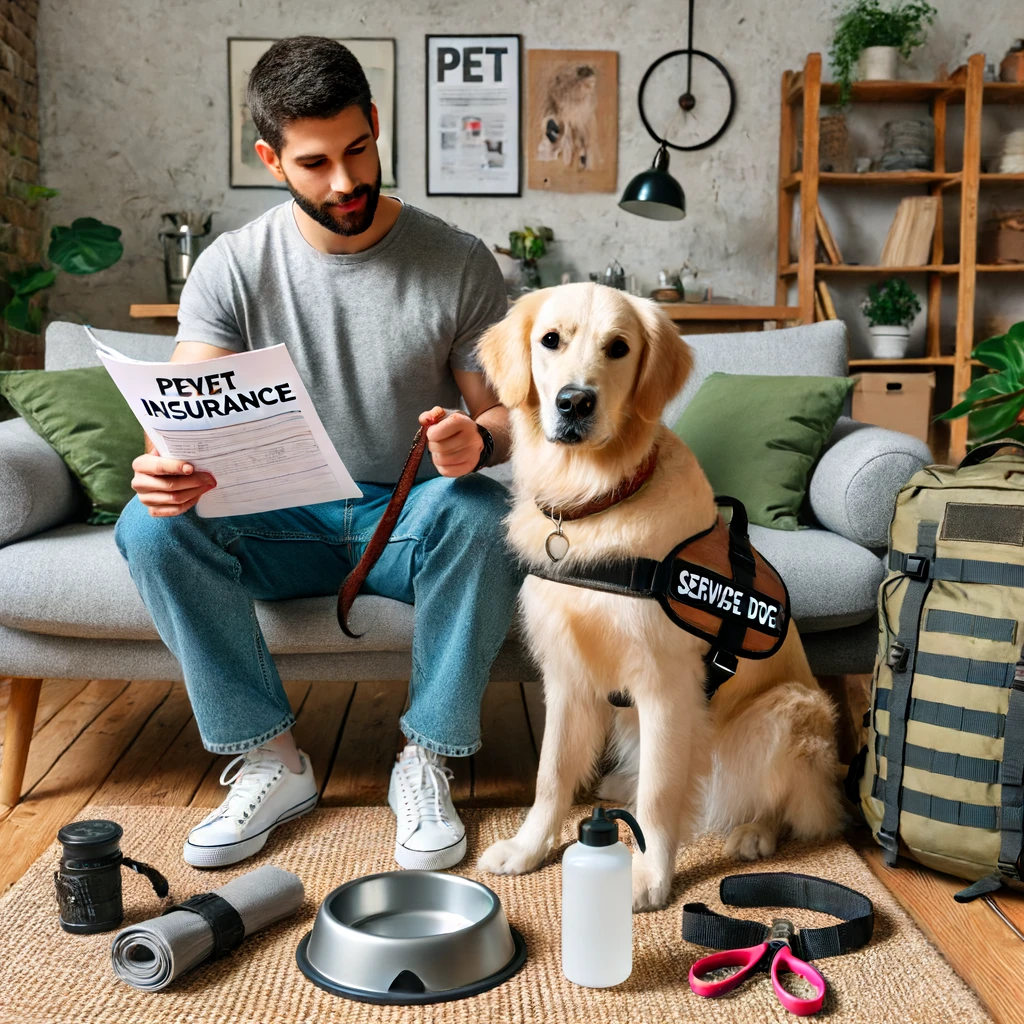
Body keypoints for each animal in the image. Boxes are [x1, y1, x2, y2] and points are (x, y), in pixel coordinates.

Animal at [475, 282, 843, 913]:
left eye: (618, 347)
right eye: (550, 340)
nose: (575, 402)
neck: (597, 500)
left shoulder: (667, 684)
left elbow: (659, 794)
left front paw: (647, 878)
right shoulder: (566, 674)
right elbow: (550, 774)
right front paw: (528, 849)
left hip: (788, 710)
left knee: (786, 799)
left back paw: (755, 831)